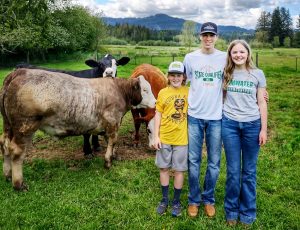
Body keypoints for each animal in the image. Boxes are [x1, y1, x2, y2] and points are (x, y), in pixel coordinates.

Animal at [1, 68, 157, 190]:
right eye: (145, 90)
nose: (155, 102)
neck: (119, 90)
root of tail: (19, 72)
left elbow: (110, 142)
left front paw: (114, 155)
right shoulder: (113, 121)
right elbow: (112, 140)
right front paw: (108, 161)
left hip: (8, 125)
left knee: (5, 144)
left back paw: (7, 175)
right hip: (25, 126)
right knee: (16, 151)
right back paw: (18, 184)